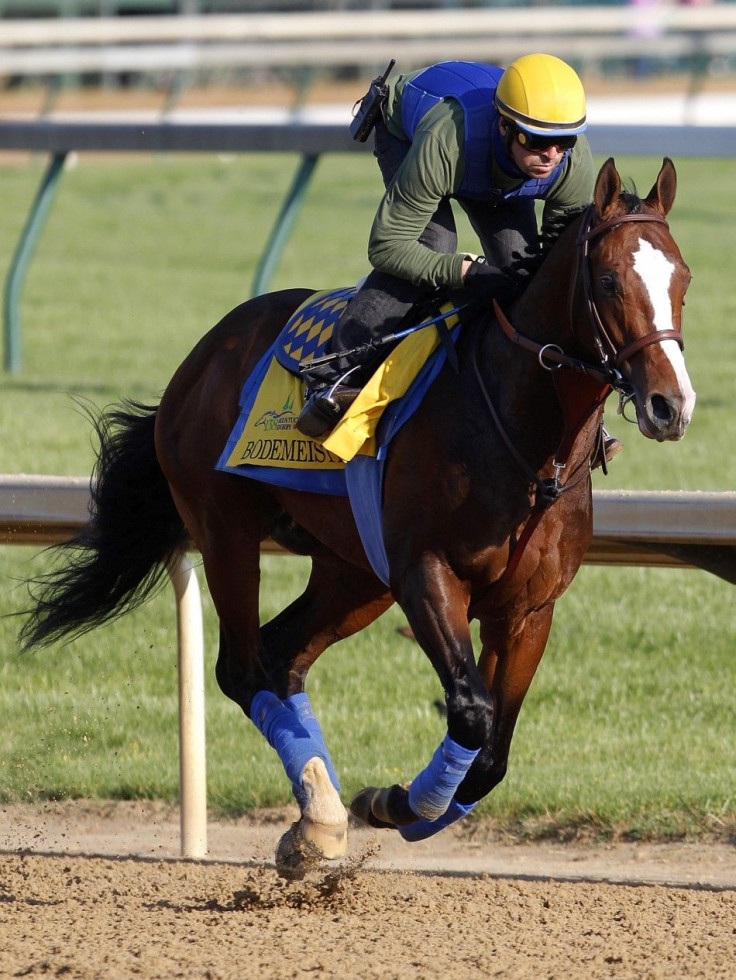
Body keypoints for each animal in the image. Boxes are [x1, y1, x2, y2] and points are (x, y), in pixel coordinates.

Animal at [18, 157, 696, 876]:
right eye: (608, 280)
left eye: (684, 277)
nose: (670, 405)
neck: (526, 441)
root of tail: (202, 356)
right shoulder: (425, 573)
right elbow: (471, 713)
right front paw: (395, 802)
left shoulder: (529, 609)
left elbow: (491, 756)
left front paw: (406, 805)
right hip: (226, 529)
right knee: (242, 667)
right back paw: (321, 816)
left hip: (354, 572)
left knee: (283, 656)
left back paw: (317, 820)